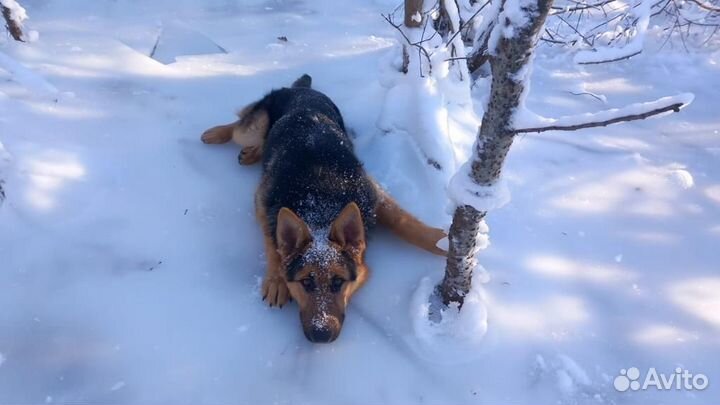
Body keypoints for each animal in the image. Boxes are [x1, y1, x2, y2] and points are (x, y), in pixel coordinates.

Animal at [201, 75, 444, 340]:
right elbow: (272, 242)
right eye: (306, 283)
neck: (320, 201)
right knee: (239, 125)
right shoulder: (261, 201)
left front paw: (443, 241)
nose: (320, 335)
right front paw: (276, 279)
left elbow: (404, 222)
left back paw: (251, 153)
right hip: (252, 128)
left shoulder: (373, 193)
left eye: (338, 282)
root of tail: (300, 90)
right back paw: (217, 133)